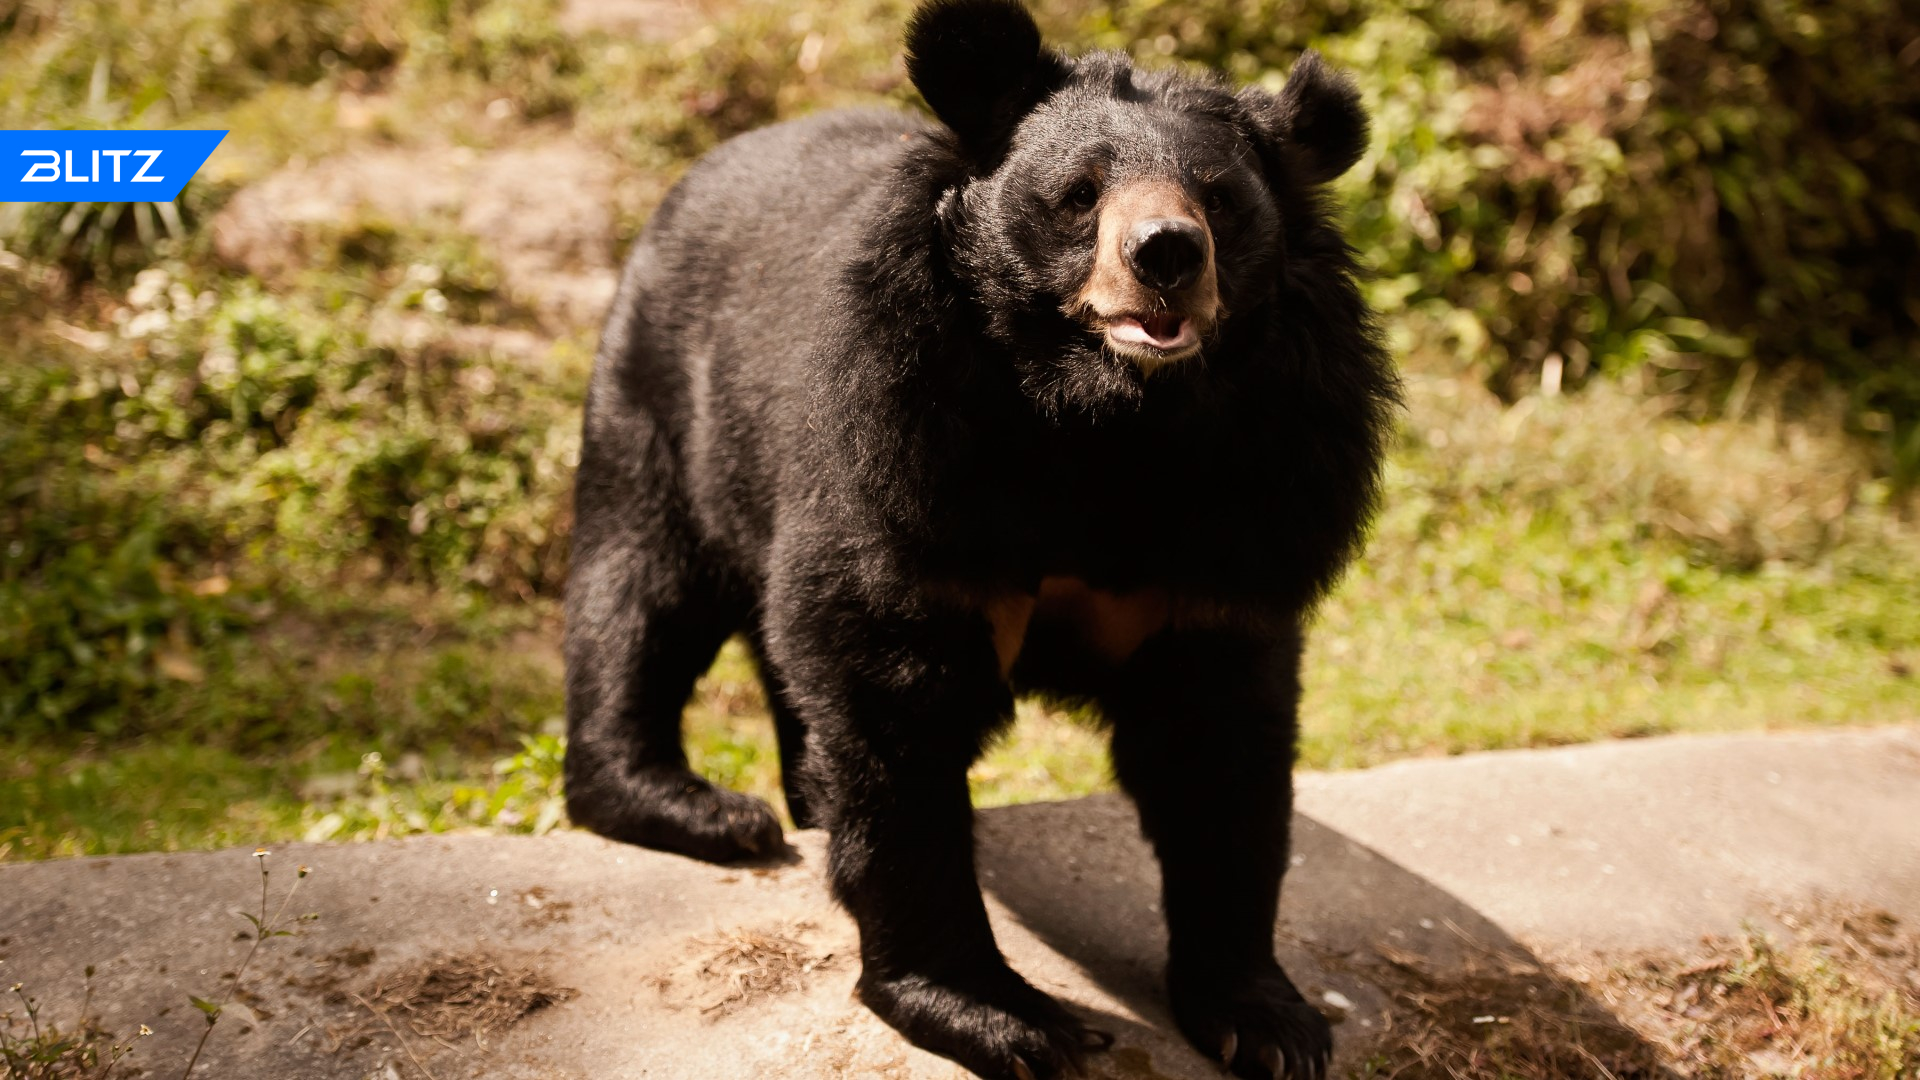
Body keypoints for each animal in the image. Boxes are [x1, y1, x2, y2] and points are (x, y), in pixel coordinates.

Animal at [560, 4, 1405, 1068]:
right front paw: (1008, 1019)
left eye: (1220, 199)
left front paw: (1268, 1021)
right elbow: (892, 705)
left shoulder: (1258, 493)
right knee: (640, 587)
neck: (1111, 422)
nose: (1167, 254)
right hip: (663, 392)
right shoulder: (915, 441)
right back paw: (706, 810)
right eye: (1079, 194)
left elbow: (1218, 749)